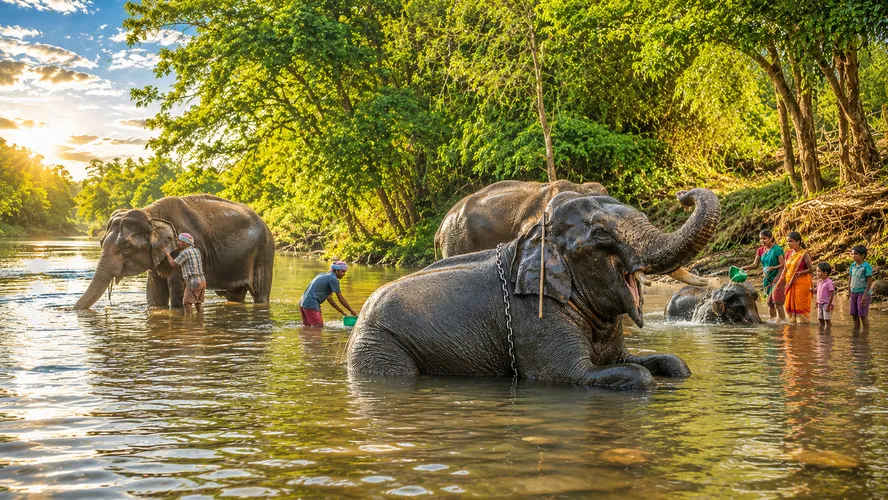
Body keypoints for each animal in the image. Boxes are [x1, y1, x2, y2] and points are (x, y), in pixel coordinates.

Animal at [73, 195, 275, 310]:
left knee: (260, 293)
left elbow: (177, 289)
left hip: (264, 251)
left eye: (126, 247)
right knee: (235, 296)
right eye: (100, 243)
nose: (70, 310)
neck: (151, 213)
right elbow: (155, 293)